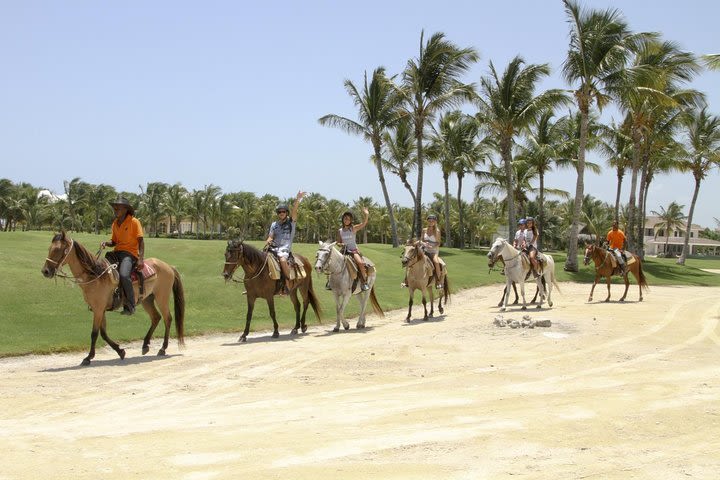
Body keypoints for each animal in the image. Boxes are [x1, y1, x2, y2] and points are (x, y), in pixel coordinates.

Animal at [41, 232, 186, 364]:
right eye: (49, 248)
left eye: (58, 249)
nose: (45, 271)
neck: (96, 275)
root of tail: (169, 266)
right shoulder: (99, 310)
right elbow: (103, 333)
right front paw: (120, 351)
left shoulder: (99, 309)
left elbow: (94, 333)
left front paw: (88, 357)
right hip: (147, 299)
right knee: (156, 317)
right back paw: (145, 345)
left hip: (162, 297)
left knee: (167, 318)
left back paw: (163, 348)